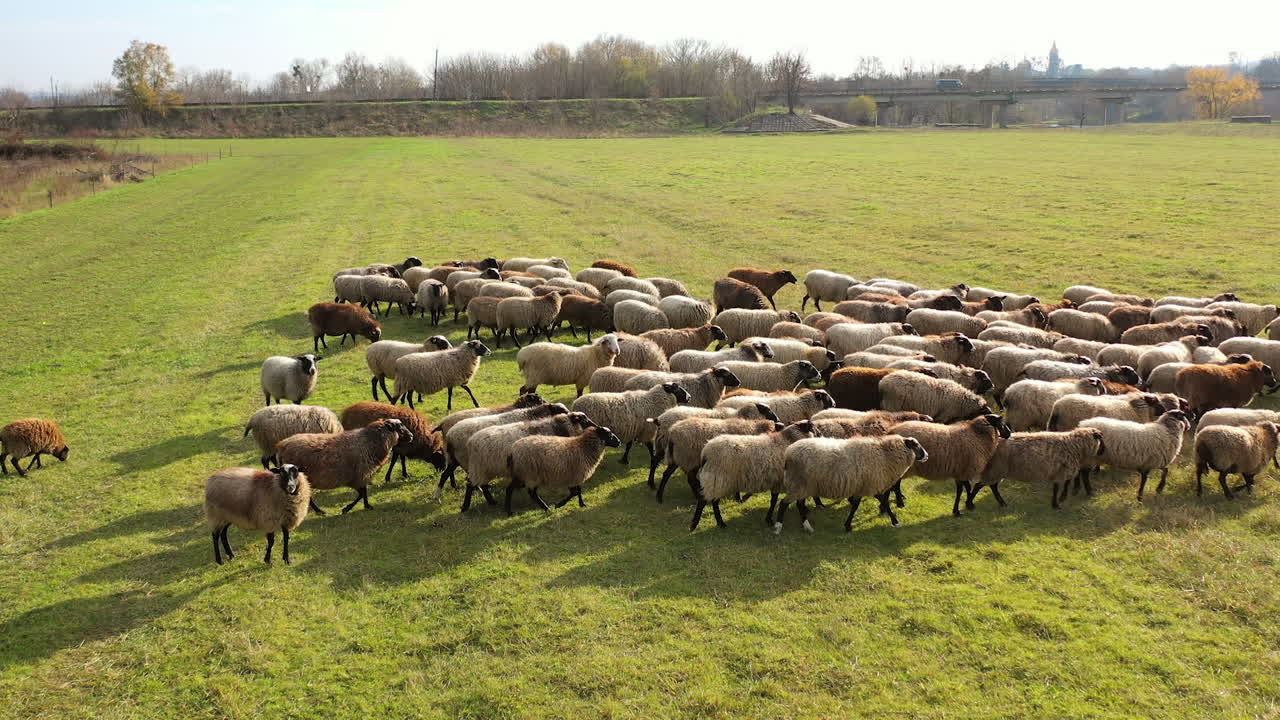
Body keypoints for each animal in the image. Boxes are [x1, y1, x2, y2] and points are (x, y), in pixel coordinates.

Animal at [277, 419, 412, 514]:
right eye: (399, 427)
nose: (411, 436)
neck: (370, 443)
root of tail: (282, 446)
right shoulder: (357, 477)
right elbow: (361, 493)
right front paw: (347, 509)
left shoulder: (362, 476)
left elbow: (364, 492)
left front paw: (367, 506)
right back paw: (319, 511)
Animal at [461, 411, 597, 511]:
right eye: (584, 420)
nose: (596, 426)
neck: (560, 427)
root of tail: (470, 442)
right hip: (480, 467)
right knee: (471, 484)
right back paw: (466, 507)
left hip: (484, 469)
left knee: (481, 485)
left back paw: (491, 502)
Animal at [776, 434, 928, 532]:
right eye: (916, 445)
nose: (926, 455)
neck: (884, 455)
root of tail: (788, 453)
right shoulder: (873, 486)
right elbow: (885, 503)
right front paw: (896, 522)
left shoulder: (863, 487)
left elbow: (855, 506)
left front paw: (848, 525)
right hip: (799, 484)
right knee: (784, 503)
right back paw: (778, 527)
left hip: (804, 486)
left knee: (799, 504)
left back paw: (807, 526)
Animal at [972, 428, 1105, 510]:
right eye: (1101, 440)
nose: (1104, 451)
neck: (1074, 446)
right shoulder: (1062, 470)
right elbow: (1061, 486)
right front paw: (1058, 503)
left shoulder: (1059, 471)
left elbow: (1060, 486)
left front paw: (1056, 502)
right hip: (995, 469)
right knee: (980, 485)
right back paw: (970, 504)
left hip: (996, 470)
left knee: (992, 486)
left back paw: (1002, 503)